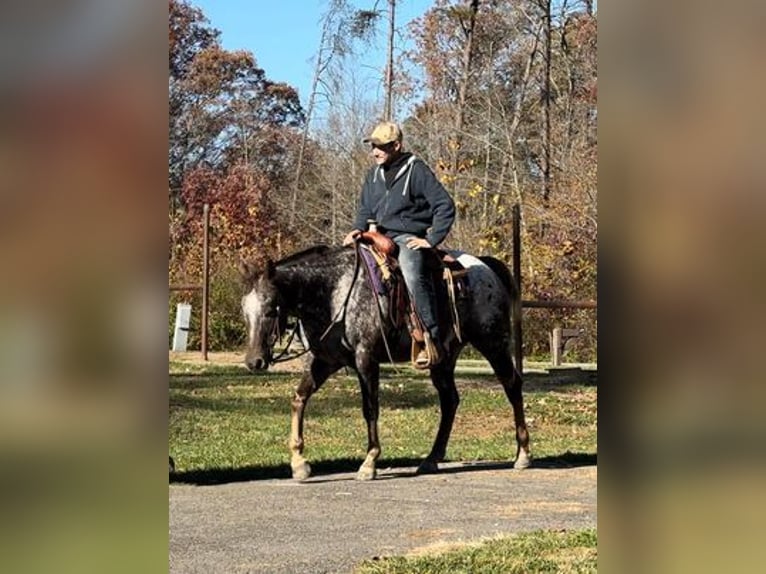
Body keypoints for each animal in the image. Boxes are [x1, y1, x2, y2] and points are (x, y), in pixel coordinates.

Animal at [237, 243, 532, 482]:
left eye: (270, 309)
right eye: (244, 310)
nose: (254, 361)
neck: (333, 292)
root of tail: (486, 266)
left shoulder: (366, 358)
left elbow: (370, 408)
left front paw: (369, 463)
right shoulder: (324, 361)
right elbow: (299, 399)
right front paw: (299, 463)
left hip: (492, 342)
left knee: (512, 385)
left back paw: (523, 454)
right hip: (444, 358)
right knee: (450, 400)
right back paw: (431, 459)